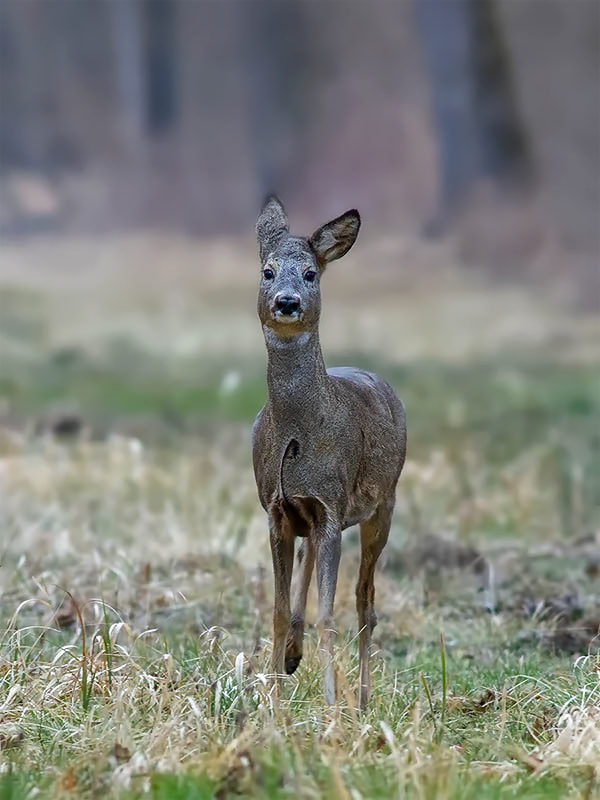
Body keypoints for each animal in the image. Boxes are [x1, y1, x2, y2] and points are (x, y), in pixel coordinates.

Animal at [251, 197, 406, 708]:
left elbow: (329, 616)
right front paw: (272, 704)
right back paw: (294, 657)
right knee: (310, 566)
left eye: (310, 274)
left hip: (383, 505)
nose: (287, 302)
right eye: (267, 271)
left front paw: (332, 710)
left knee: (364, 601)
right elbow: (279, 612)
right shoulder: (278, 509)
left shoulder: (332, 506)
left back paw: (362, 700)